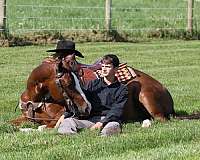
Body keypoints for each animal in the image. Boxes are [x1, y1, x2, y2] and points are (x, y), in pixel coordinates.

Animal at [11, 57, 175, 128]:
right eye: (69, 83)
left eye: (77, 81)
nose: (86, 108)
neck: (38, 100)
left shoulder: (58, 118)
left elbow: (43, 127)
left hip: (145, 96)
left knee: (160, 119)